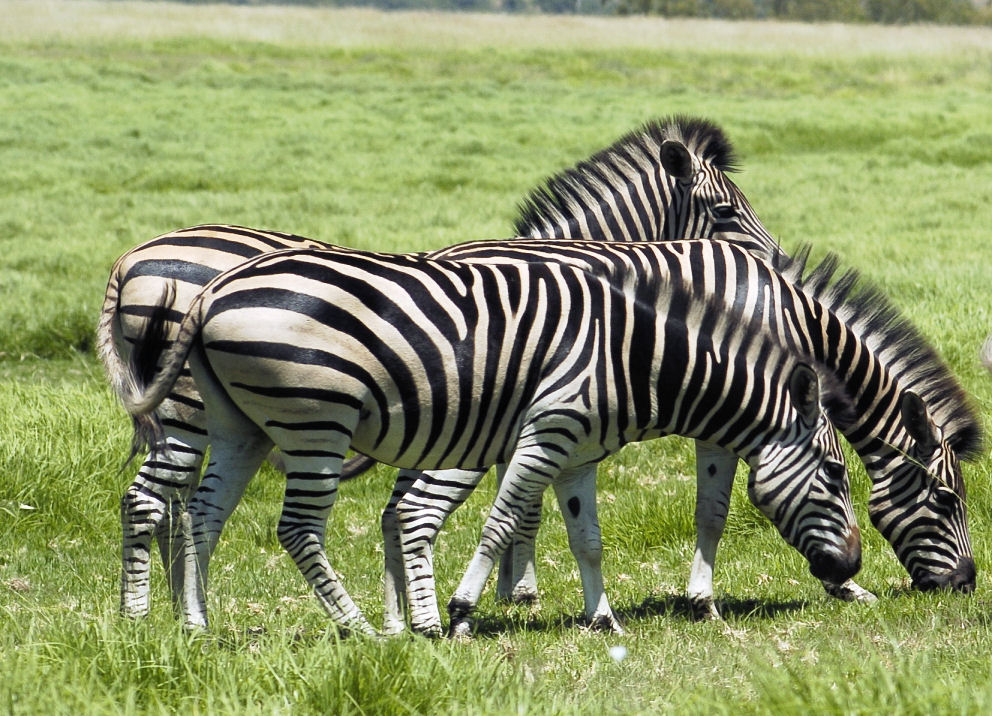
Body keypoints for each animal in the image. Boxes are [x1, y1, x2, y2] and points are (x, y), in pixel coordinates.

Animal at [101, 114, 784, 620]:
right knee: (150, 501)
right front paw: (511, 593)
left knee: (175, 505)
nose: (774, 266)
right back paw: (144, 617)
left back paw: (178, 611)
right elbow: (515, 500)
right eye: (727, 213)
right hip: (192, 411)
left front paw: (468, 599)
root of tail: (130, 258)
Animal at [112, 243, 864, 636]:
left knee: (203, 514)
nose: (853, 569)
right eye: (835, 474)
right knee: (295, 529)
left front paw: (602, 619)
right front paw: (462, 610)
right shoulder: (547, 430)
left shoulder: (579, 456)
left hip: (239, 428)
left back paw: (196, 625)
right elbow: (501, 523)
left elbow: (588, 538)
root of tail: (212, 293)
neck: (633, 355)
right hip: (315, 421)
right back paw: (359, 629)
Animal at [374, 241, 984, 636]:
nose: (966, 584)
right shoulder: (737, 416)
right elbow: (715, 512)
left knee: (396, 509)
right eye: (946, 500)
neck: (786, 317)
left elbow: (712, 511)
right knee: (420, 510)